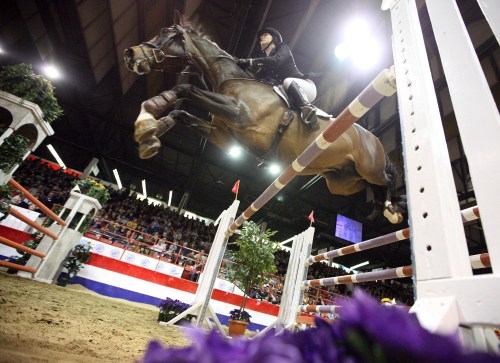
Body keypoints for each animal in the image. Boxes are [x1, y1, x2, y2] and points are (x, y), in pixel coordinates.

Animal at [123, 14, 404, 225]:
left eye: (164, 32)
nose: (129, 54)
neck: (231, 79)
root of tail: (373, 138)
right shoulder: (221, 135)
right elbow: (180, 112)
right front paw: (149, 134)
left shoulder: (239, 115)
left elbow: (185, 89)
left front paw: (149, 116)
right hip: (343, 181)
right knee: (373, 186)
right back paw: (383, 207)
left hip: (369, 167)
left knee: (388, 178)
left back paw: (394, 207)